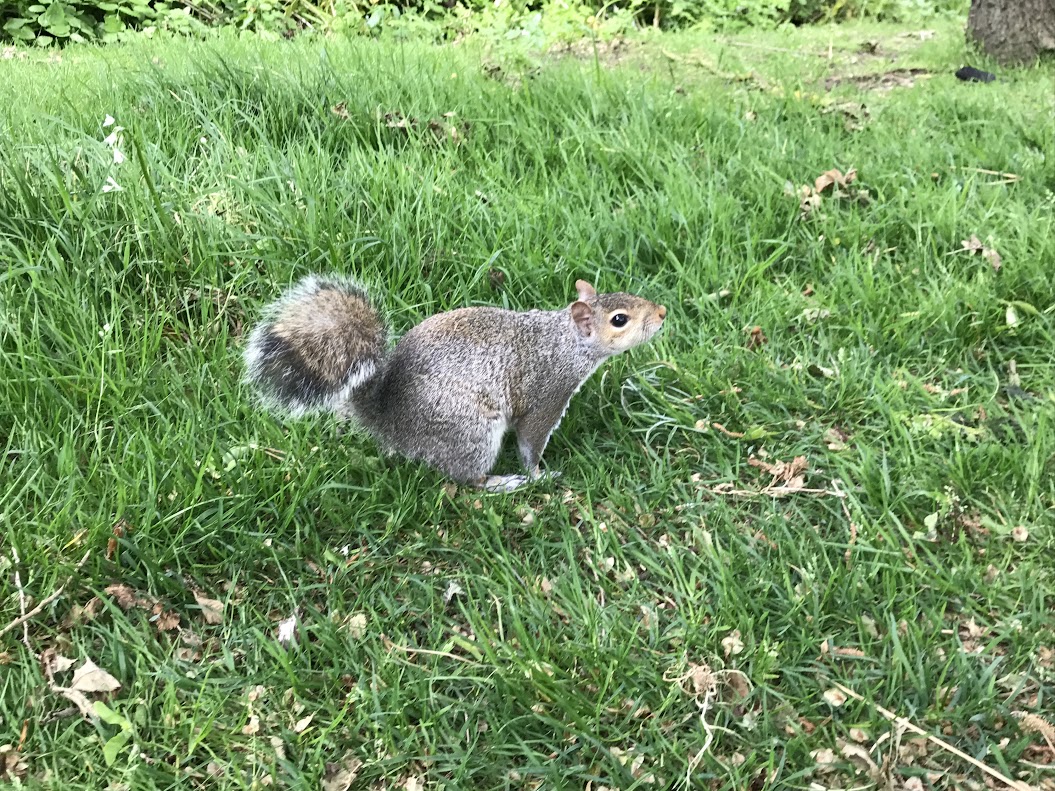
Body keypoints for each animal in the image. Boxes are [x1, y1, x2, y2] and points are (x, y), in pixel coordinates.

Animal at [242, 276, 662, 493]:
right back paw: (502, 483)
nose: (662, 313)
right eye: (620, 319)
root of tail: (389, 418)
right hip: (471, 431)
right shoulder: (546, 393)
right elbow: (530, 442)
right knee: (468, 478)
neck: (565, 342)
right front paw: (539, 475)